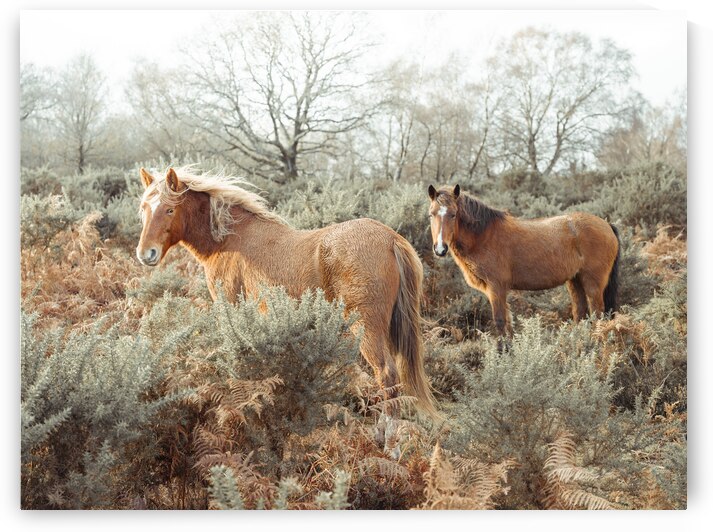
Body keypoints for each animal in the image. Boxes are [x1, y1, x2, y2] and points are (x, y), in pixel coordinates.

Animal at [136, 167, 438, 418]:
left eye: (169, 210)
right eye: (144, 209)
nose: (145, 253)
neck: (230, 239)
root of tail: (391, 239)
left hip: (367, 327)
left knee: (386, 374)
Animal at [427, 184, 620, 336]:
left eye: (453, 214)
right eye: (431, 214)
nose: (440, 249)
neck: (484, 236)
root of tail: (606, 224)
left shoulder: (496, 288)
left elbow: (500, 321)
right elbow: (508, 323)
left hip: (593, 285)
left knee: (598, 314)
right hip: (575, 281)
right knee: (581, 314)